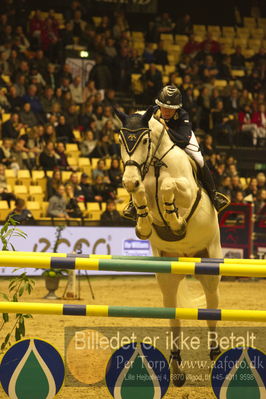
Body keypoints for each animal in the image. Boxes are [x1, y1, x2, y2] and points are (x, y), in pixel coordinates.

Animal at [114, 106, 222, 388]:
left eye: (143, 141)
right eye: (121, 141)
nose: (128, 181)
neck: (154, 163)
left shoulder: (187, 190)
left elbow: (167, 187)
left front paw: (176, 222)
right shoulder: (143, 187)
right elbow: (143, 196)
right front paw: (143, 225)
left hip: (211, 267)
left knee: (212, 309)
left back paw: (216, 357)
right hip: (167, 276)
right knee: (173, 316)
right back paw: (176, 368)